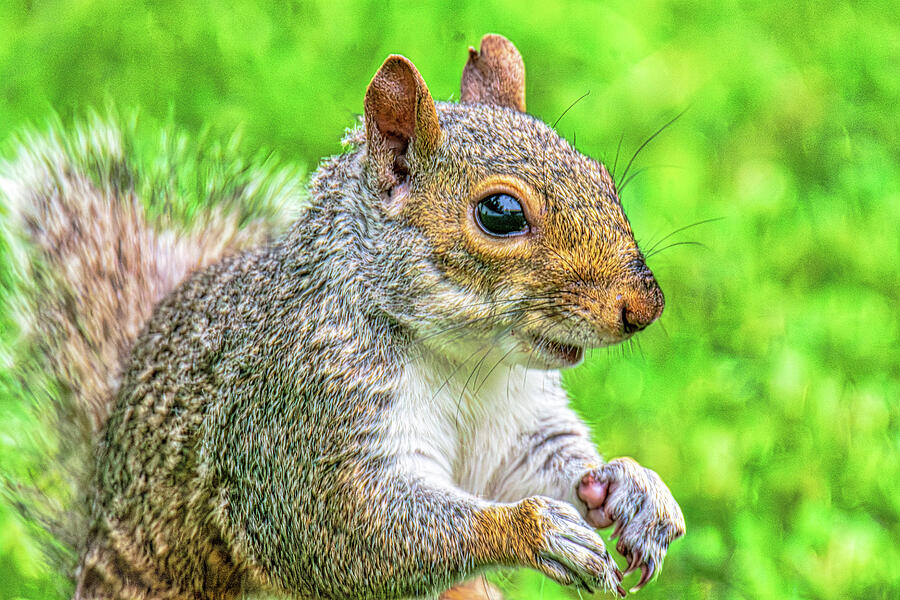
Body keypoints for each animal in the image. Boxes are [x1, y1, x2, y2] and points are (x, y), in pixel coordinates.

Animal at [1, 34, 684, 600]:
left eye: (601, 175)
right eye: (500, 213)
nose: (644, 307)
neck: (468, 362)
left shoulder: (513, 426)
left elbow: (541, 461)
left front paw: (632, 490)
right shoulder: (295, 420)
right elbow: (346, 531)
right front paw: (535, 530)